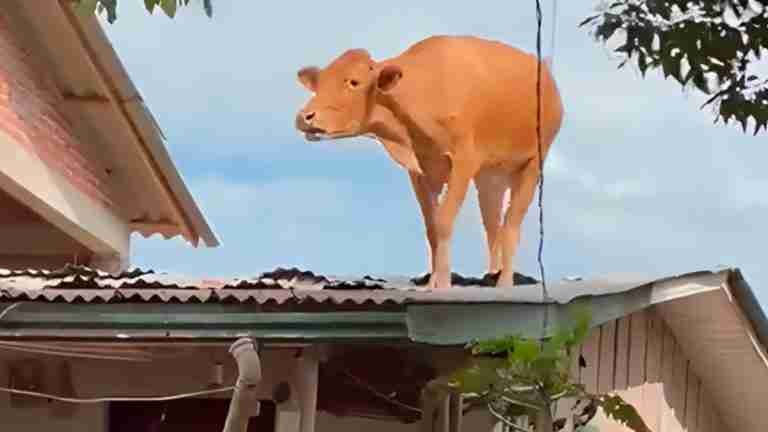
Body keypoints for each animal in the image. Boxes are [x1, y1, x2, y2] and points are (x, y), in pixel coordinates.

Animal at [295, 35, 564, 289]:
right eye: (318, 83)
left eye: (353, 82)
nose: (304, 116)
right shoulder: (420, 171)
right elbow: (431, 226)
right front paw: (432, 281)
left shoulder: (464, 161)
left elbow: (444, 221)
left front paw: (443, 284)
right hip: (490, 177)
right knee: (492, 225)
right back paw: (492, 275)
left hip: (533, 163)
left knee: (511, 226)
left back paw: (504, 282)